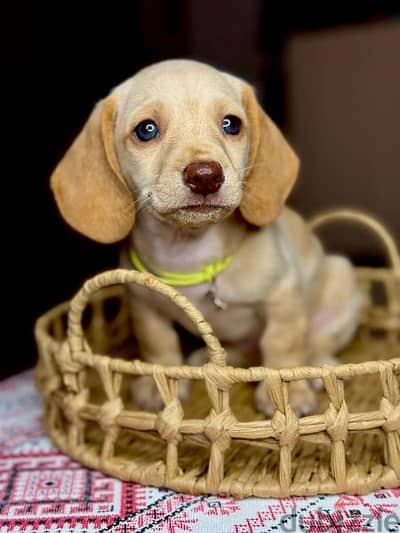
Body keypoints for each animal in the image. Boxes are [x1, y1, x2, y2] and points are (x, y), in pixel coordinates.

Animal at [50, 59, 362, 416]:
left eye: (231, 124)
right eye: (146, 130)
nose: (205, 176)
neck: (190, 252)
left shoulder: (282, 299)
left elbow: (282, 348)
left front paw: (288, 393)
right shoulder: (144, 306)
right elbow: (159, 346)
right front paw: (160, 385)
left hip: (340, 283)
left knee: (316, 342)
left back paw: (320, 366)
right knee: (240, 352)